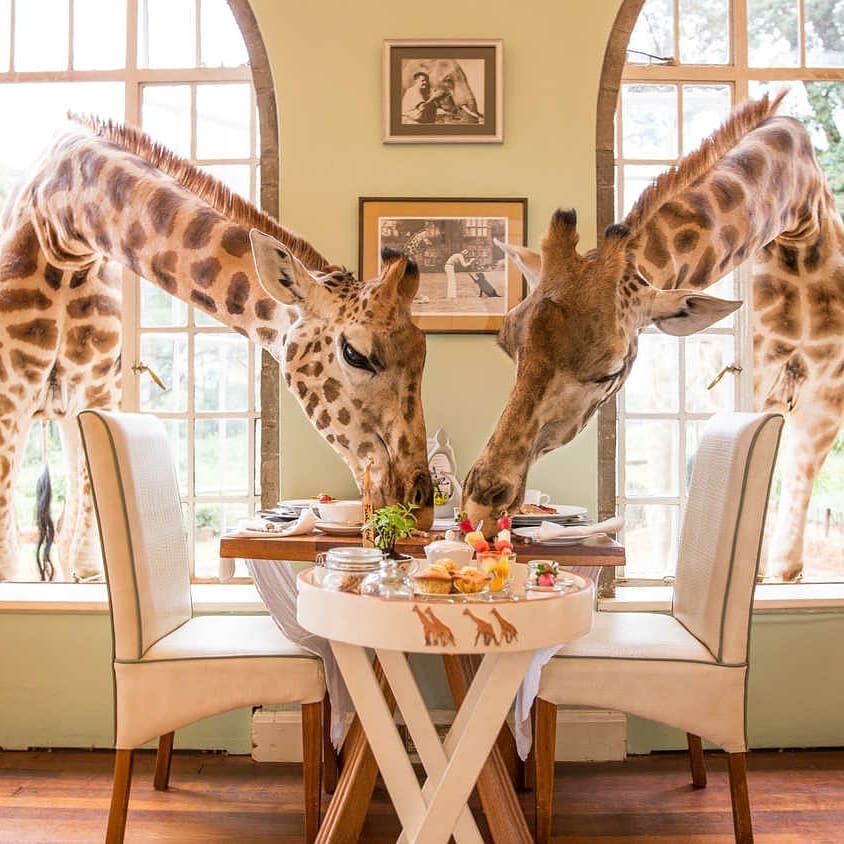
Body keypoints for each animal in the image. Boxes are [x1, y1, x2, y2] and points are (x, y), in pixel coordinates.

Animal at [0, 115, 433, 582]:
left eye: (424, 354)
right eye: (355, 354)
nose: (422, 505)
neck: (62, 227)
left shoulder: (97, 394)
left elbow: (80, 560)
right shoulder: (8, 401)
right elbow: (9, 555)